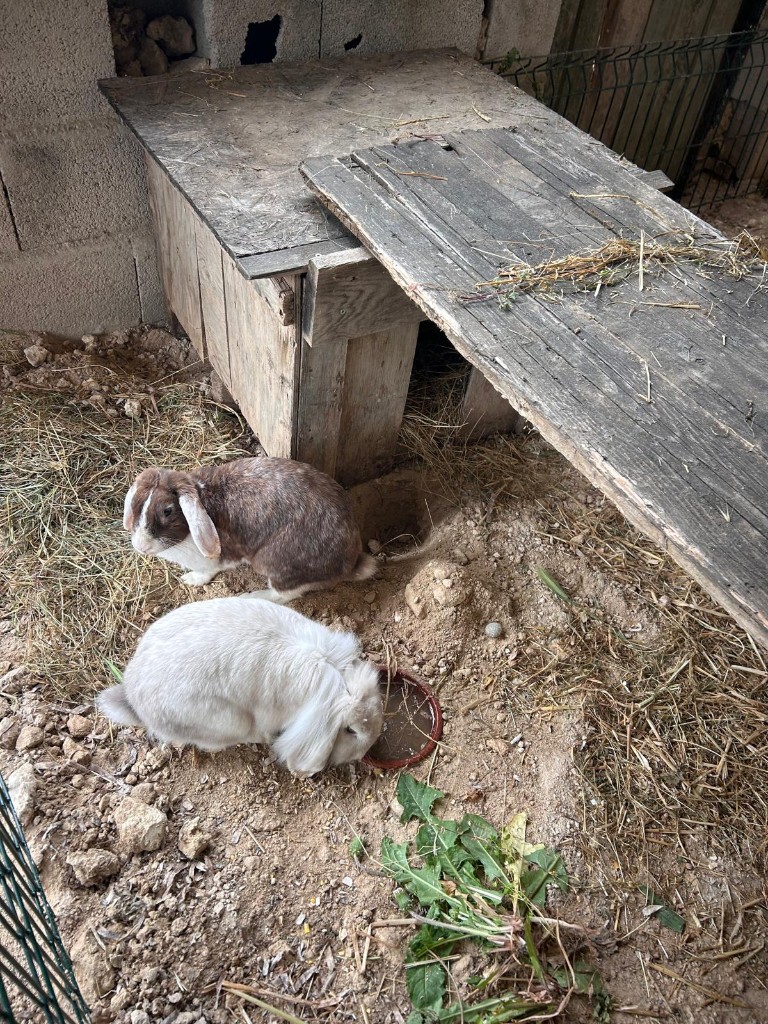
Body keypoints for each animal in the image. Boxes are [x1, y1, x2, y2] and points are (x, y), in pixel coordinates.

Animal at [122, 457, 377, 601]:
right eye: (135, 503)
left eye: (167, 511)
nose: (141, 546)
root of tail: (351, 565)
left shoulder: (216, 560)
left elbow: (208, 571)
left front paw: (191, 579)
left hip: (273, 563)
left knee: (284, 594)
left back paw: (252, 596)